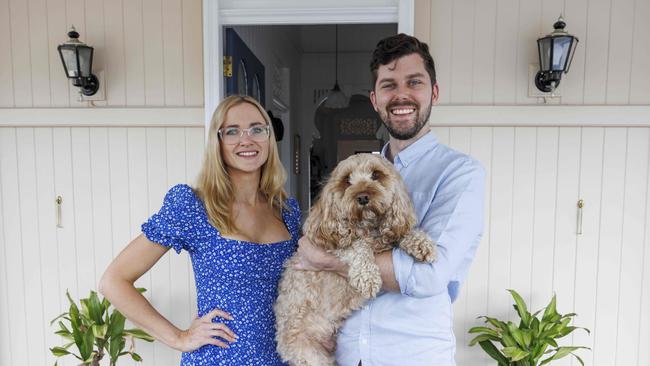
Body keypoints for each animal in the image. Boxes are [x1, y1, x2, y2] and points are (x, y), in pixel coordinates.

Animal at [270, 153, 432, 364]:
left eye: (376, 175)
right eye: (347, 180)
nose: (363, 197)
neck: (368, 227)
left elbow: (402, 234)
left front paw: (421, 241)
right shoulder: (330, 246)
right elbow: (358, 246)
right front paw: (368, 276)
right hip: (312, 357)